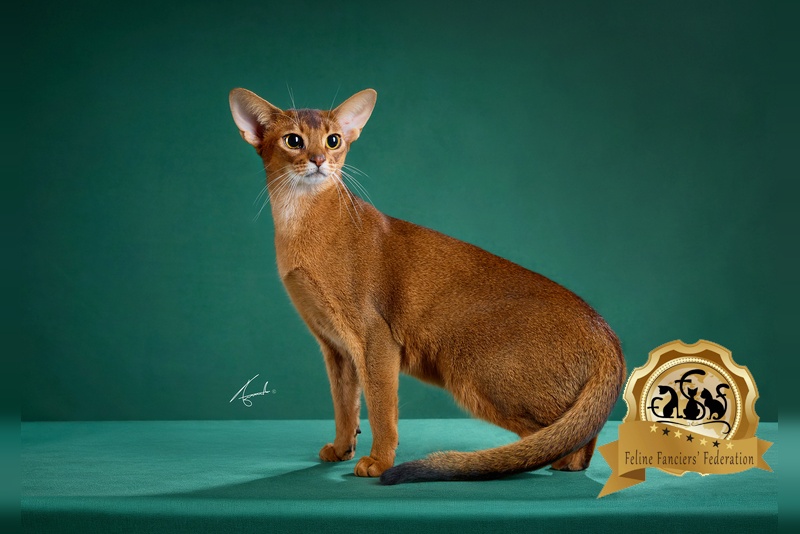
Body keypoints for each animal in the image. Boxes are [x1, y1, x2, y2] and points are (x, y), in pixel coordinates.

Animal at [229, 87, 626, 484]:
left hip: (474, 368)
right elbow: (344, 405)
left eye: (333, 140)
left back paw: (545, 461)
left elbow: (381, 408)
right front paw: (342, 447)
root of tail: (608, 338)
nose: (318, 159)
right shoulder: (335, 347)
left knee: (566, 434)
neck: (299, 221)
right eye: (293, 140)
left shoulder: (375, 339)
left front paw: (379, 461)